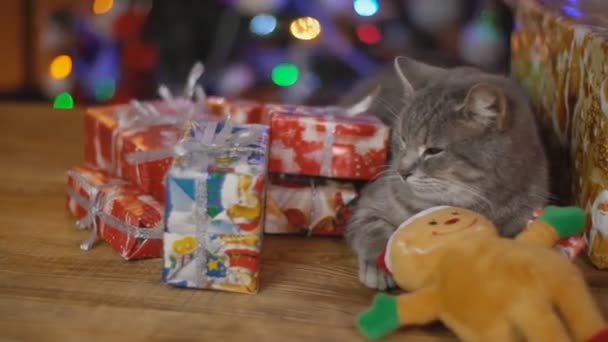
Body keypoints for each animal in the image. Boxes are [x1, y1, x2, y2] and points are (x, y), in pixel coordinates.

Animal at [342, 56, 552, 288]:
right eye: (402, 139)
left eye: (433, 151)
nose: (401, 171)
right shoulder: (368, 204)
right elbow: (373, 231)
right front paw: (379, 265)